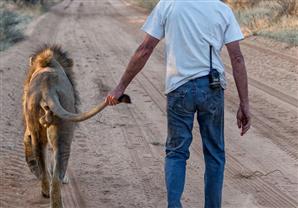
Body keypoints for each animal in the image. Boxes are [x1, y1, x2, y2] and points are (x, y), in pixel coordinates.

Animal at [22, 44, 130, 207]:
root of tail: (47, 88)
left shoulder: (30, 129)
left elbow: (27, 142)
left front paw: (32, 167)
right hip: (64, 131)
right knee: (56, 178)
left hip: (38, 129)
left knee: (44, 166)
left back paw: (44, 189)